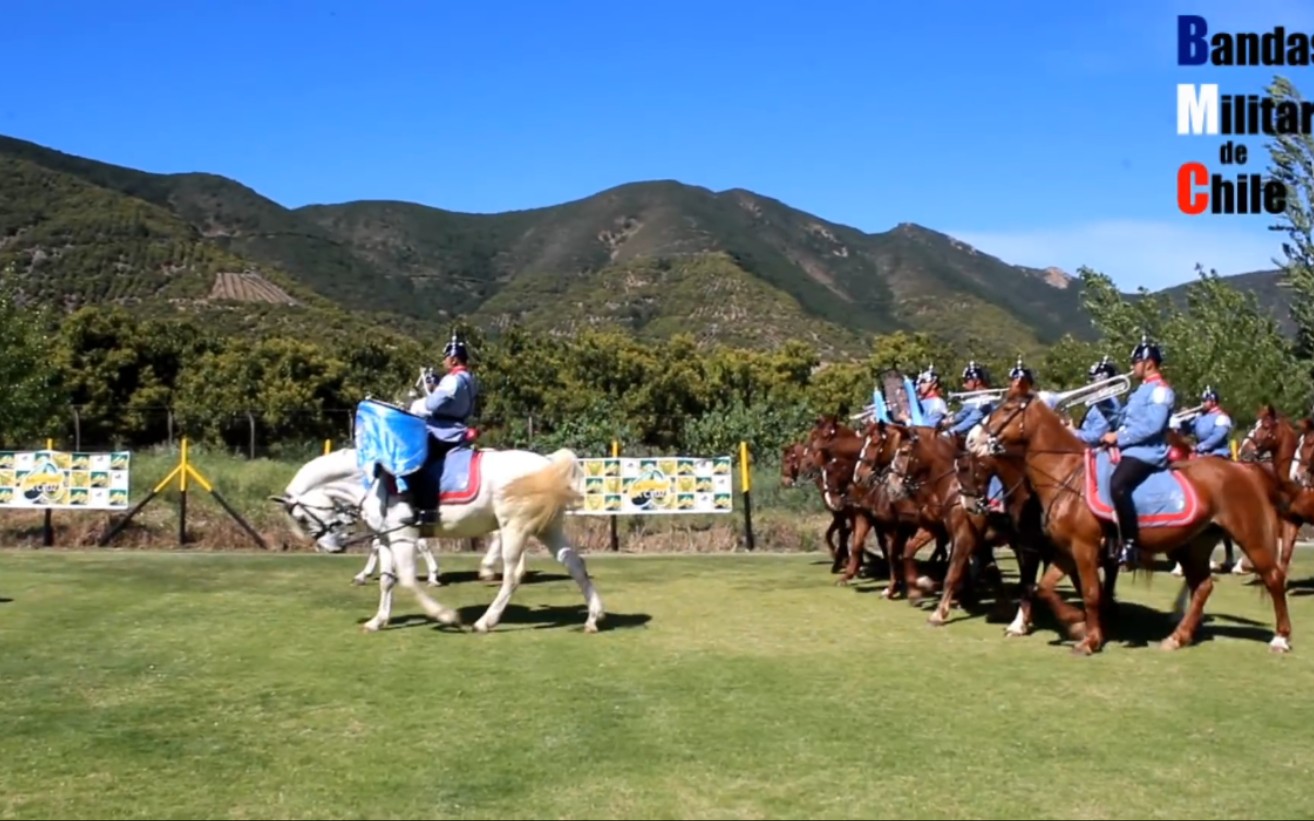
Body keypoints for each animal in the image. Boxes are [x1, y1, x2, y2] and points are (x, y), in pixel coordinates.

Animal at [274, 441, 607, 633]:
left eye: (301, 517)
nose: (330, 547)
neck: (375, 482)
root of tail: (547, 462)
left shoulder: (403, 535)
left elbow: (408, 579)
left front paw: (445, 615)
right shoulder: (386, 538)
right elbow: (387, 580)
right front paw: (378, 620)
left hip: (515, 526)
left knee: (513, 575)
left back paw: (485, 620)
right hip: (547, 528)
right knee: (575, 564)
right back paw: (593, 618)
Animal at [967, 391, 1292, 654]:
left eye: (1008, 407)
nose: (972, 438)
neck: (1067, 476)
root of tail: (1244, 470)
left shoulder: (1083, 549)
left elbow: (1090, 593)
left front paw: (1089, 639)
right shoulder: (1065, 551)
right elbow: (1043, 589)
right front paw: (1076, 624)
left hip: (1251, 537)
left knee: (1273, 578)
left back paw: (1281, 638)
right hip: (1195, 545)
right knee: (1202, 586)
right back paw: (1177, 637)